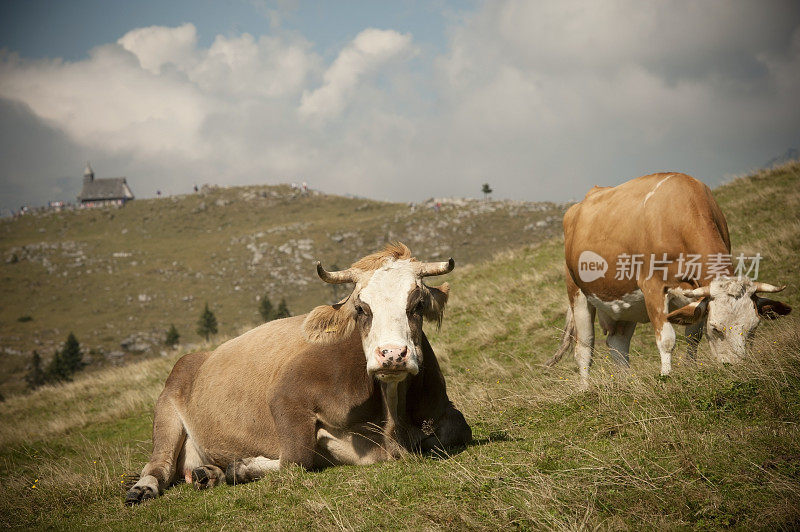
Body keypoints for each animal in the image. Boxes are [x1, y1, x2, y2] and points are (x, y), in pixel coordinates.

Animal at [126, 243, 472, 504]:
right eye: (361, 308)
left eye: (418, 304)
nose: (392, 355)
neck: (391, 415)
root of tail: (199, 356)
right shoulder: (286, 396)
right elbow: (296, 458)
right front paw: (244, 466)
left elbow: (457, 431)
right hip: (167, 408)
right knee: (159, 465)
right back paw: (143, 489)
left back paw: (206, 474)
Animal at [548, 172, 792, 384]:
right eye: (715, 328)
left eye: (754, 328)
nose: (736, 367)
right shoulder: (653, 287)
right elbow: (666, 340)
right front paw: (666, 377)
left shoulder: (697, 297)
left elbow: (693, 335)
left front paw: (692, 369)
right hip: (577, 294)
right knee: (584, 348)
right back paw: (585, 388)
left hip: (624, 303)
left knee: (618, 344)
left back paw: (627, 383)